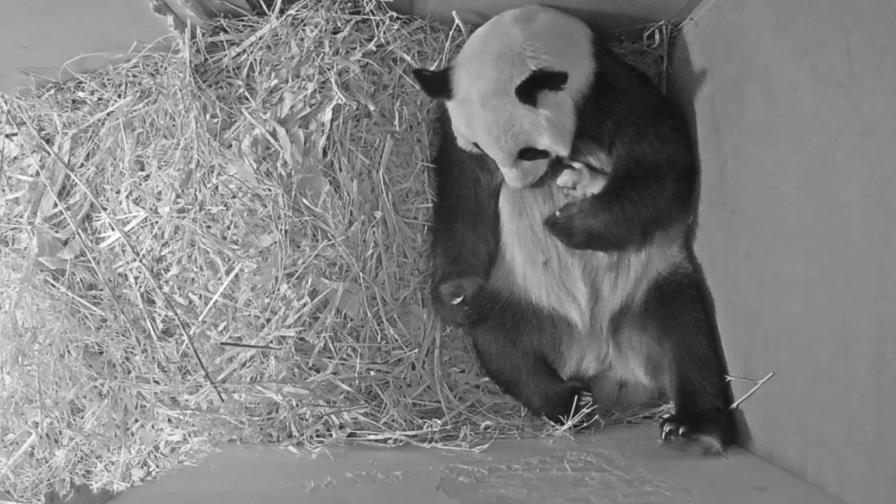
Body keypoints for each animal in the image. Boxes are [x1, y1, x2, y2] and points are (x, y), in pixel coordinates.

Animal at [412, 6, 736, 452]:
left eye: (530, 152)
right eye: (482, 149)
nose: (519, 185)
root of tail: (604, 360)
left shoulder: (619, 95)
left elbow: (661, 169)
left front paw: (566, 224)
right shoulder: (456, 136)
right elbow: (465, 201)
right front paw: (456, 294)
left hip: (655, 285)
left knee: (689, 340)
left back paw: (695, 428)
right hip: (518, 299)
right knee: (505, 350)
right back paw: (569, 402)